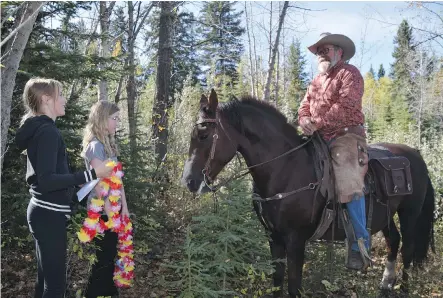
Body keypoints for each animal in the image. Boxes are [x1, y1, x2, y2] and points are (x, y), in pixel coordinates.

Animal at [181, 89, 438, 296]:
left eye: (204, 135)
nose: (189, 181)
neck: (286, 169)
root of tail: (416, 154)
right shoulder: (274, 237)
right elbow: (277, 280)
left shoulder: (296, 240)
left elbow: (294, 286)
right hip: (386, 215)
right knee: (393, 241)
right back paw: (385, 285)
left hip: (410, 213)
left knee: (407, 249)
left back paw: (403, 289)